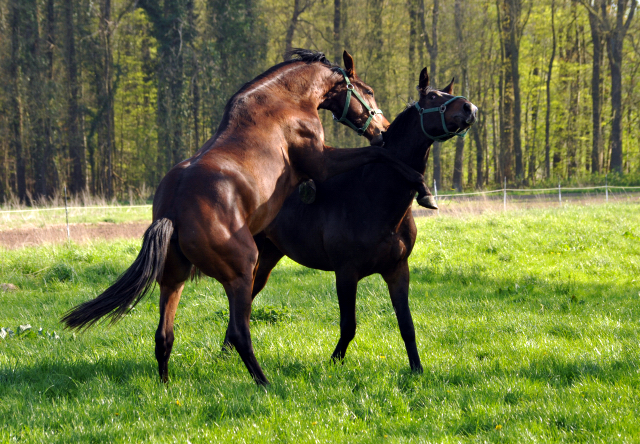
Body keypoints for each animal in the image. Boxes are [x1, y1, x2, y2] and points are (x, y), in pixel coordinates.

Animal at [61, 49, 430, 386]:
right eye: (368, 91)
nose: (383, 127)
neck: (285, 100)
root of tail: (173, 215)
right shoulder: (322, 162)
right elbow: (377, 155)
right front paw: (421, 185)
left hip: (175, 278)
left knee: (165, 334)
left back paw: (165, 385)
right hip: (241, 271)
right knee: (239, 332)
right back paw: (264, 383)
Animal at [228, 68, 478, 372]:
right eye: (432, 97)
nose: (469, 108)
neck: (375, 196)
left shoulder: (397, 270)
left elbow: (406, 325)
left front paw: (417, 369)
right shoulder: (346, 273)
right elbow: (349, 325)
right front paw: (334, 362)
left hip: (268, 256)